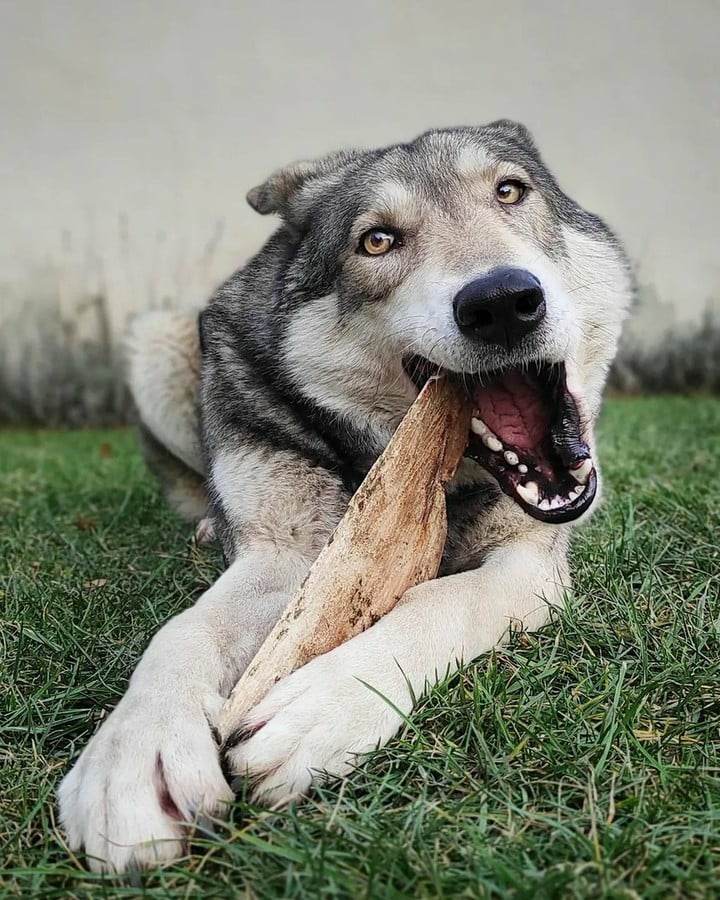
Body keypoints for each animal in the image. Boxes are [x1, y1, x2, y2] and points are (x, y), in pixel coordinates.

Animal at [58, 120, 632, 872]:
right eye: (377, 241)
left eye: (511, 191)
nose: (502, 301)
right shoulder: (284, 558)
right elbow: (181, 633)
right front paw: (133, 754)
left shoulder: (528, 564)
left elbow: (443, 599)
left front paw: (326, 705)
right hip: (155, 343)